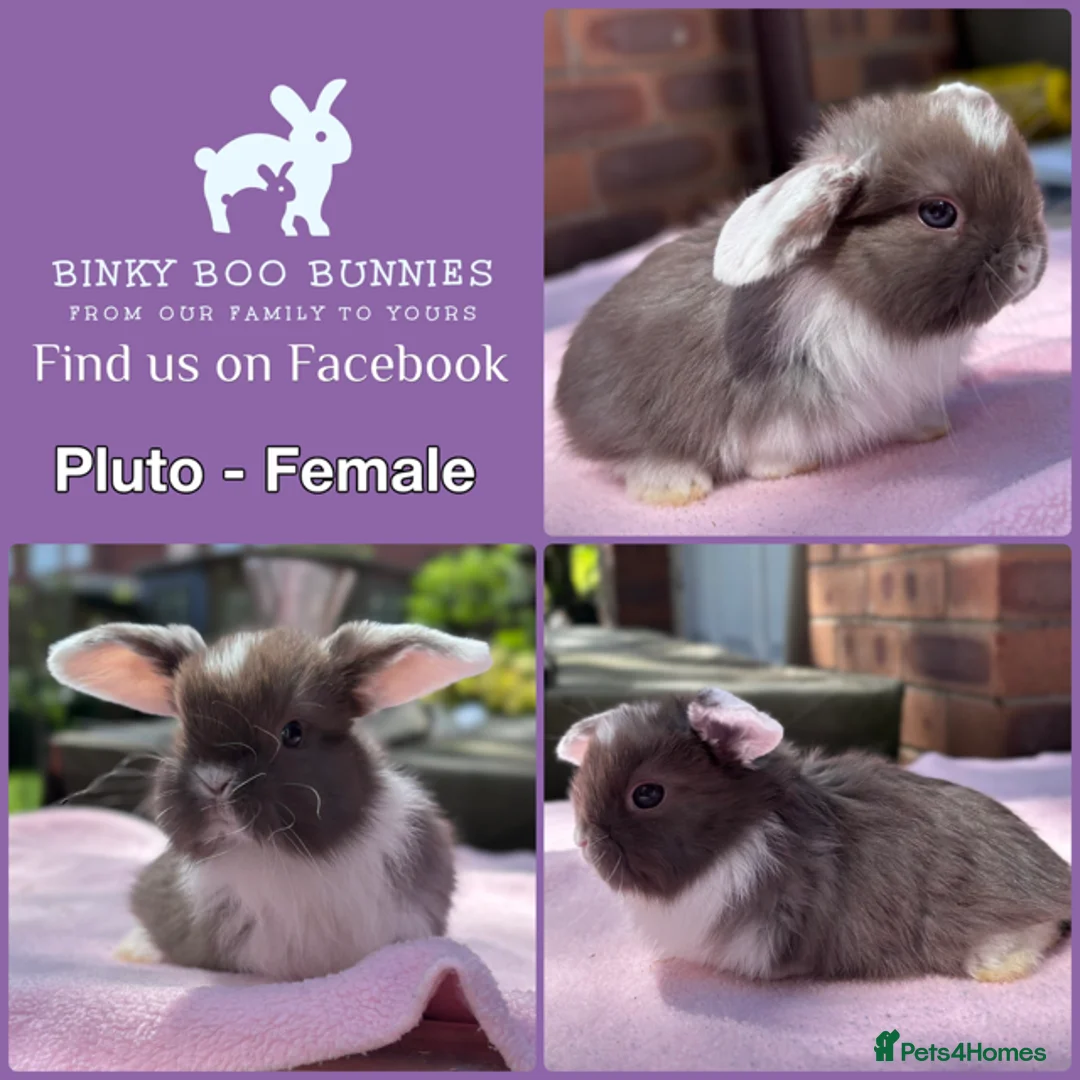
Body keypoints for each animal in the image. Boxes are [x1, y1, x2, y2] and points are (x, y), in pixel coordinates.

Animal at [195, 79, 351, 236]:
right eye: (321, 136)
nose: (347, 153)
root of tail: (213, 159)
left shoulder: (313, 205)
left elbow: (313, 217)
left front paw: (320, 230)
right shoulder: (291, 203)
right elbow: (288, 218)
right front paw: (290, 232)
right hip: (220, 196)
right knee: (218, 212)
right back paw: (223, 229)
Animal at [554, 84, 1049, 505]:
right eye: (938, 212)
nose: (1027, 263)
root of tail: (565, 396)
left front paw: (931, 428)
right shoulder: (774, 409)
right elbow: (767, 449)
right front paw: (786, 469)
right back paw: (676, 486)